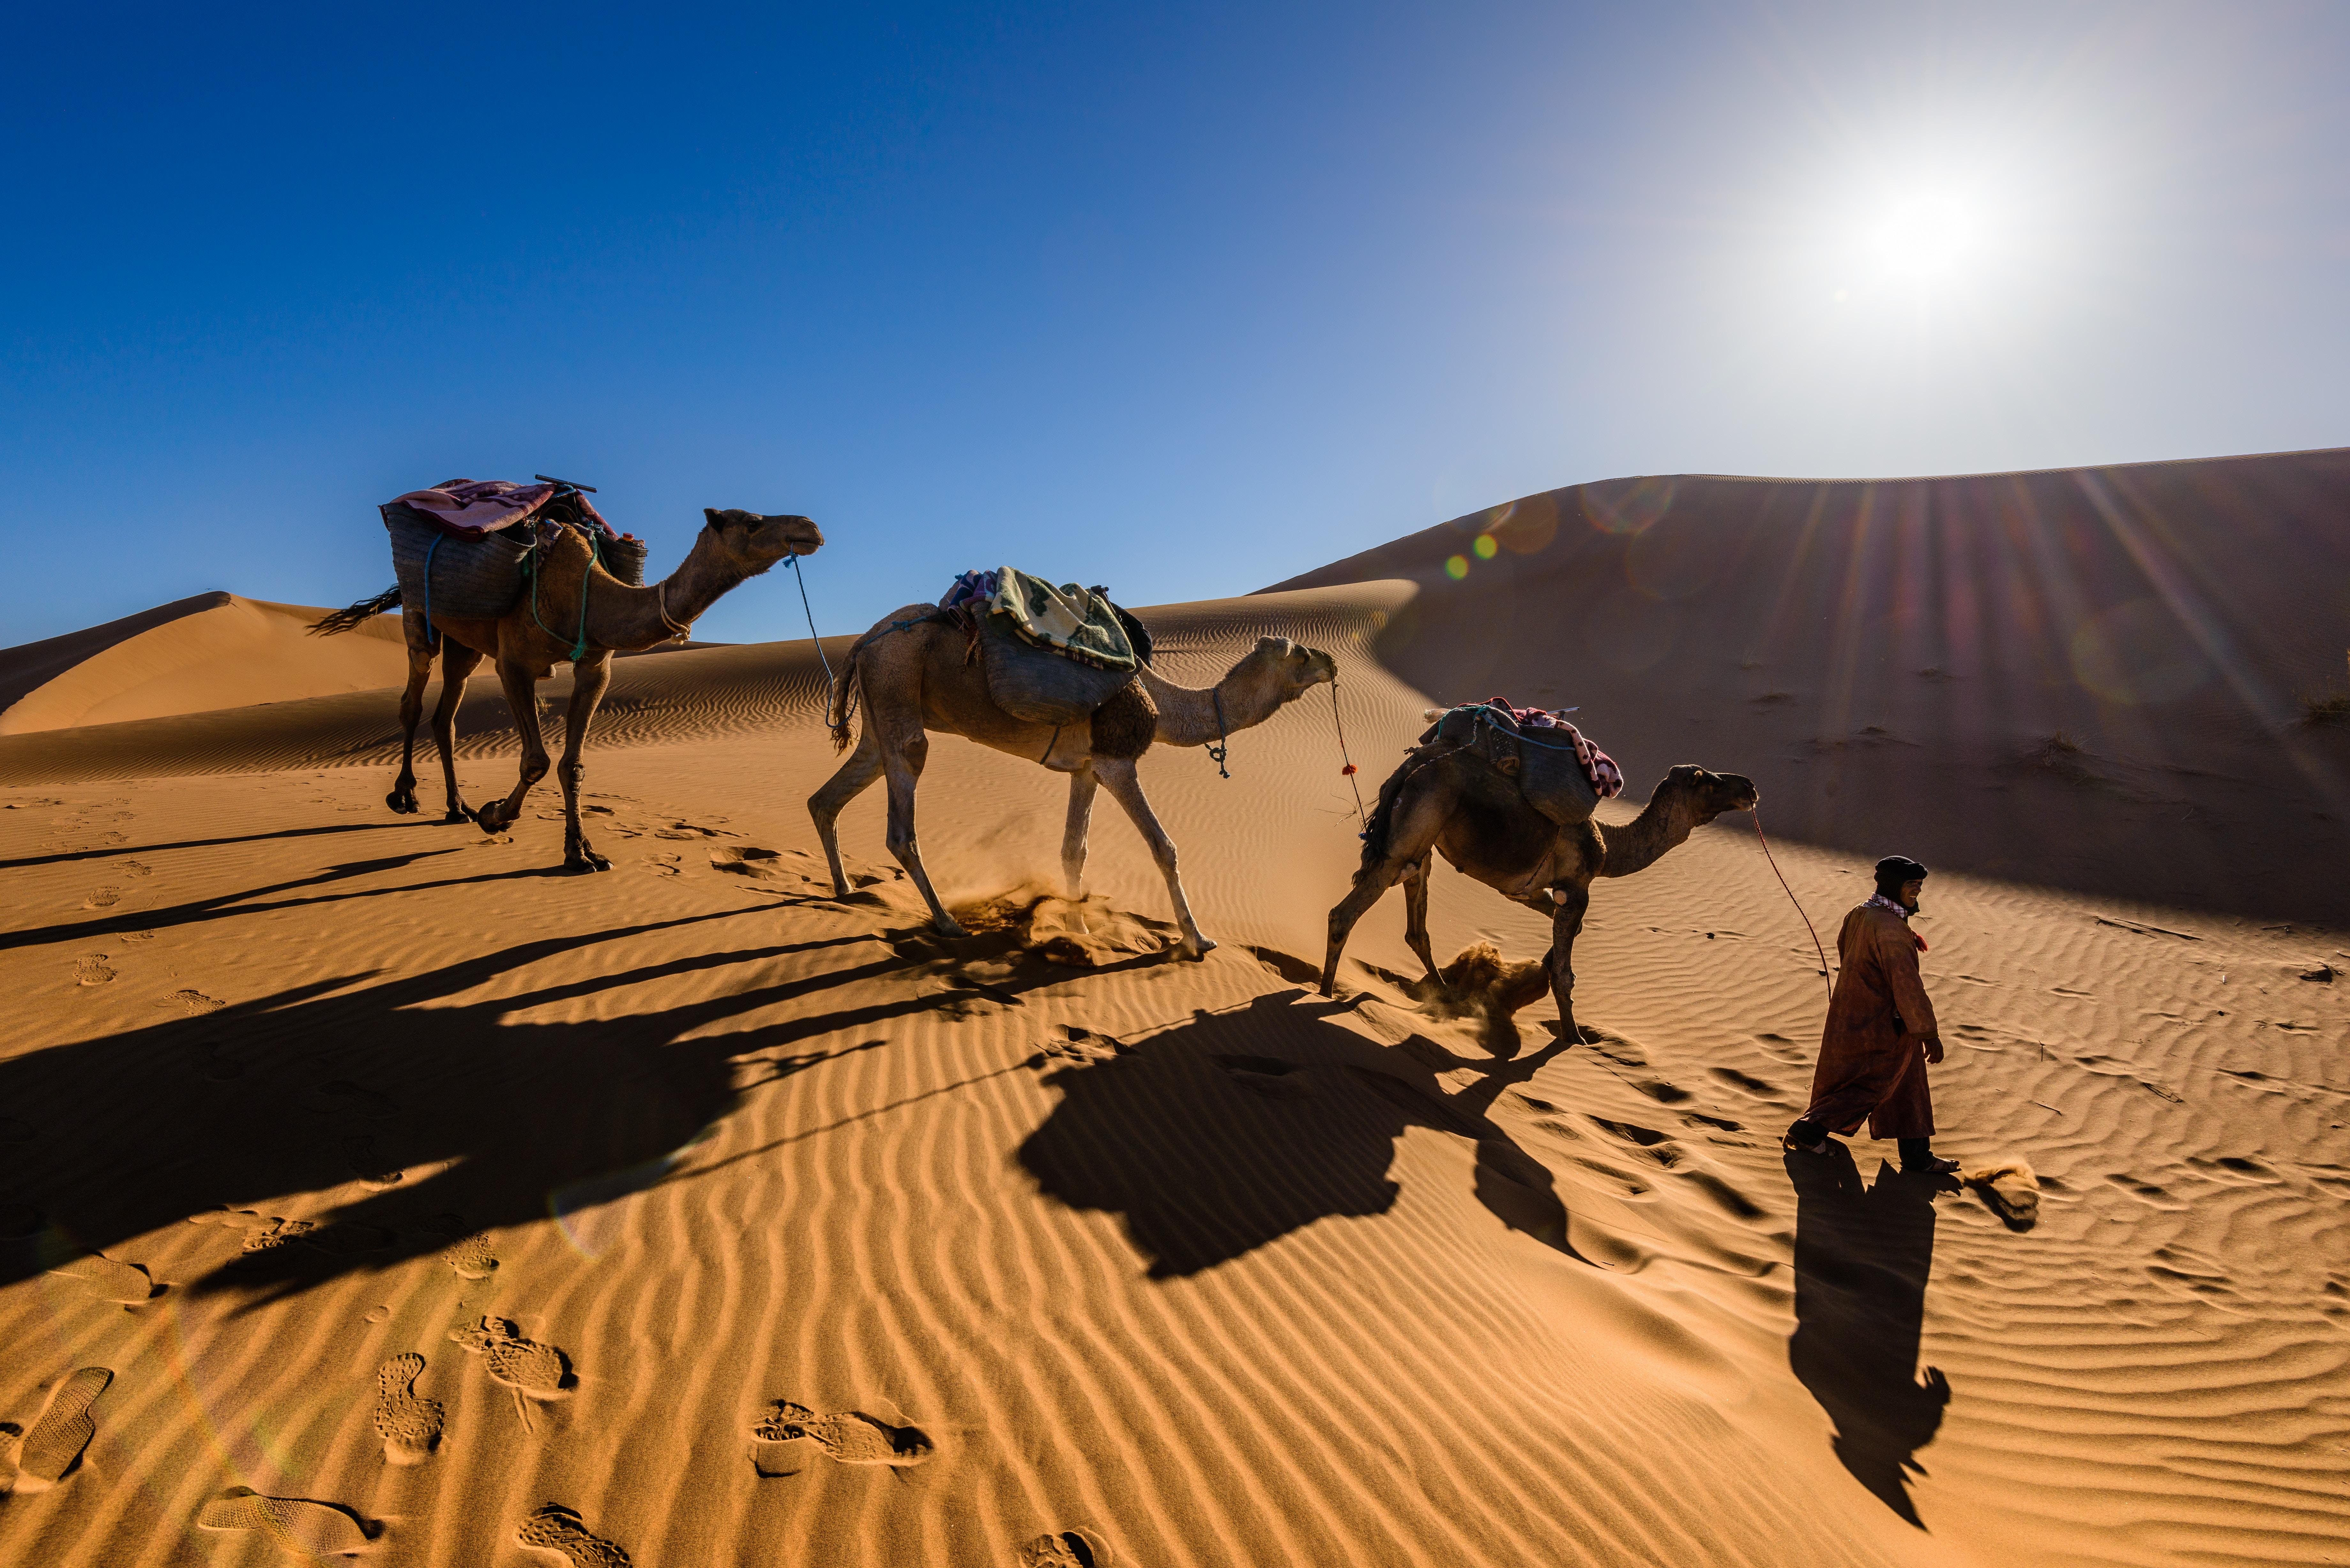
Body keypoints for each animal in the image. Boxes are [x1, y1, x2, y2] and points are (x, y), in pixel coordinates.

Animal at [312, 510, 827, 870]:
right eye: (753, 521)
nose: (811, 528)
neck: (587, 594)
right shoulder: (514, 662)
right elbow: (536, 760)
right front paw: (496, 816)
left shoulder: (595, 666)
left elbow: (572, 765)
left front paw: (581, 853)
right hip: (421, 615)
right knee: (413, 700)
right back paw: (405, 797)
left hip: (466, 642)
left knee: (446, 716)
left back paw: (456, 808)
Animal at [808, 606, 1335, 959]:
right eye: (1300, 653)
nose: (1331, 662)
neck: (1163, 702)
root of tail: (863, 642)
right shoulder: (1117, 760)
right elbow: (1163, 847)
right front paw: (1197, 939)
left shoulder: (1086, 769)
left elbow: (1073, 850)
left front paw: (1078, 929)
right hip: (897, 680)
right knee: (902, 816)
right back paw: (947, 922)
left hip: (880, 711)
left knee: (829, 796)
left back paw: (846, 889)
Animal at [1316, 738, 1758, 1053]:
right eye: (1707, 779)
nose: (1750, 786)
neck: (1608, 847)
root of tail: (1411, 767)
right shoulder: (1576, 890)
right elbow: (1566, 972)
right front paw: (1575, 1038)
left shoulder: (1527, 891)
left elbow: (1569, 936)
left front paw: (1535, 974)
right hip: (1411, 831)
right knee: (1346, 912)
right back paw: (1323, 993)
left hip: (1419, 842)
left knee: (1415, 922)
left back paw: (1445, 994)